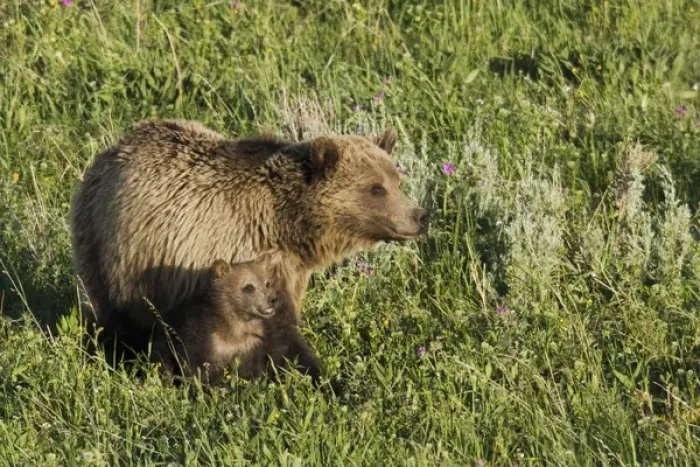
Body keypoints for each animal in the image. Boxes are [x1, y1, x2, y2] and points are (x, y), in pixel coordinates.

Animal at [70, 119, 429, 348]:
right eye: (376, 188)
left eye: (397, 180)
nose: (420, 216)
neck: (283, 222)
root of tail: (113, 148)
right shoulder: (232, 250)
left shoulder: (290, 268)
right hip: (113, 247)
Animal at [150, 259, 324, 387]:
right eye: (249, 286)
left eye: (267, 283)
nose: (273, 299)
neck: (235, 328)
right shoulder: (199, 335)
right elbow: (196, 367)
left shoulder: (255, 343)